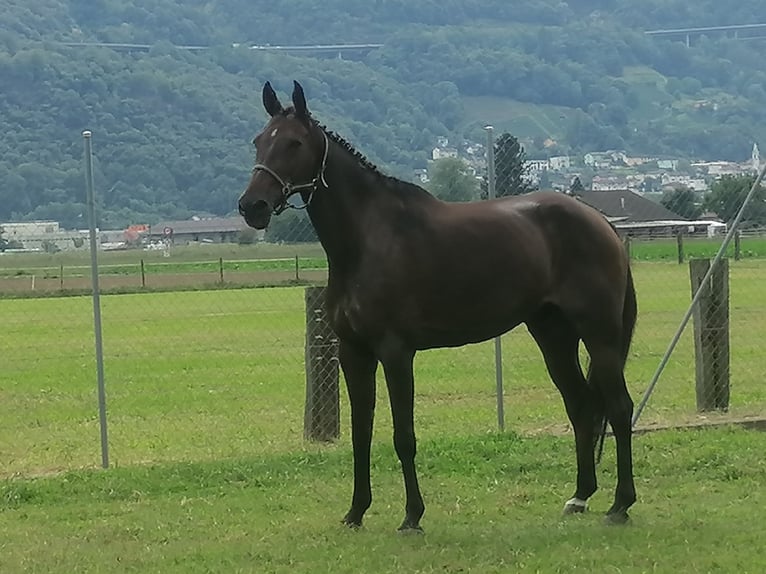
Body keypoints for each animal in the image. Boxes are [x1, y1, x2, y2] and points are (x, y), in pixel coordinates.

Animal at [240, 80, 640, 532]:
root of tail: (600, 222)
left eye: (293, 143)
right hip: (553, 335)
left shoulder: (396, 352)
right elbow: (362, 434)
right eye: (259, 141)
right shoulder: (354, 353)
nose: (251, 206)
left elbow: (403, 437)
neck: (367, 241)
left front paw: (412, 515)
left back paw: (620, 504)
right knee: (581, 406)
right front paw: (356, 512)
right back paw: (580, 496)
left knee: (619, 408)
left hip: (600, 335)